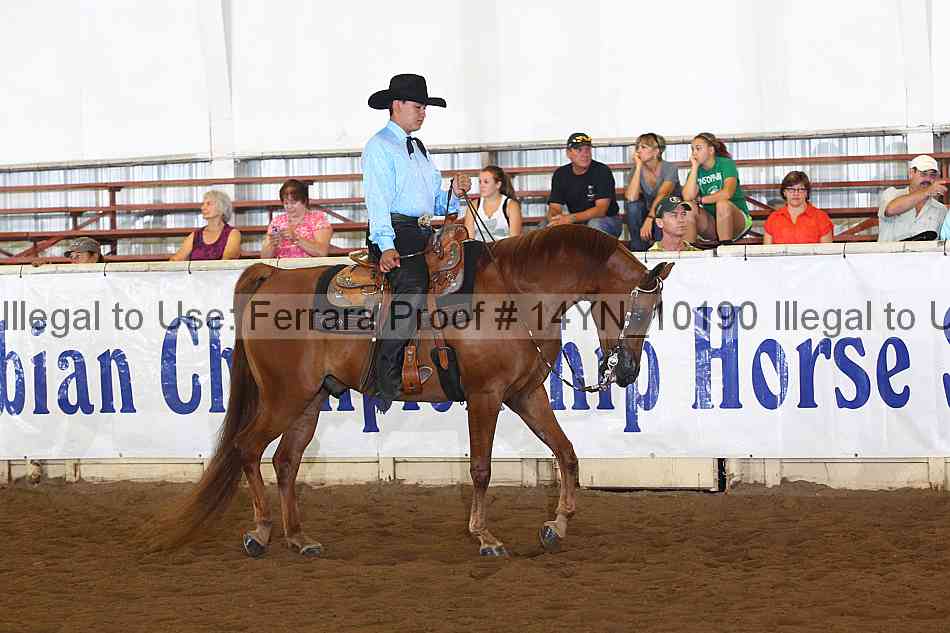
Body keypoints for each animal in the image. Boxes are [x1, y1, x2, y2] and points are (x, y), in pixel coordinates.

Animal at [152, 224, 673, 557]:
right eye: (637, 310)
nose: (628, 372)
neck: (516, 296)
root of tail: (273, 275)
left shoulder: (526, 395)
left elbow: (566, 452)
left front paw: (557, 526)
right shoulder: (485, 396)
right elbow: (481, 469)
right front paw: (485, 537)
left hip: (310, 399)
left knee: (284, 461)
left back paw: (299, 538)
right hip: (283, 398)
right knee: (247, 448)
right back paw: (260, 534)